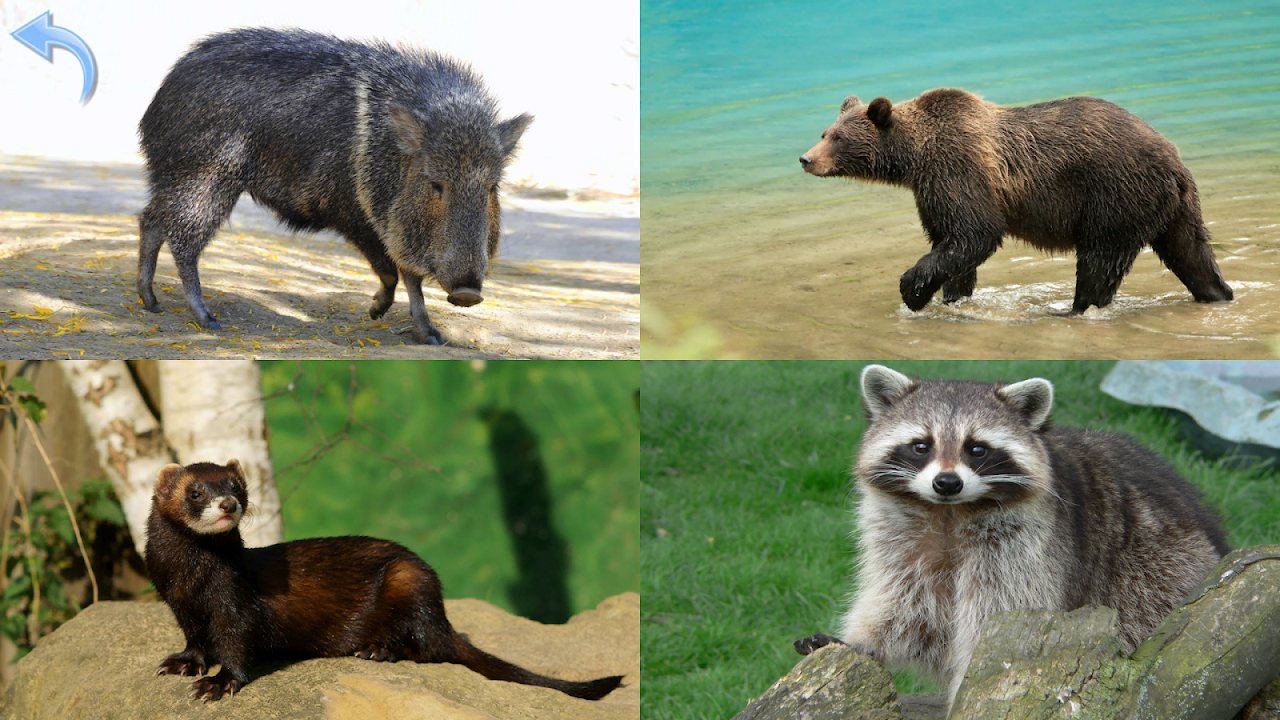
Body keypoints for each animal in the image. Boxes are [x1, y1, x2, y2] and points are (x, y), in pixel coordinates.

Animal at [796, 364, 1229, 704]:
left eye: (977, 449)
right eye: (921, 446)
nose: (947, 482)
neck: (949, 512)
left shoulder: (1025, 548)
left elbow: (997, 618)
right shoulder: (901, 541)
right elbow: (906, 607)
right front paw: (862, 641)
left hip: (1158, 571)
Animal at [799, 88, 1234, 314]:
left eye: (838, 138)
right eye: (824, 132)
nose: (806, 158)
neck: (914, 159)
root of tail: (1175, 161)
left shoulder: (958, 170)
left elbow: (976, 233)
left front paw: (912, 290)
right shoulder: (933, 190)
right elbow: (952, 243)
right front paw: (953, 296)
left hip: (1115, 196)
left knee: (1099, 262)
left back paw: (1073, 308)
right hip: (1173, 209)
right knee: (1191, 254)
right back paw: (1218, 293)